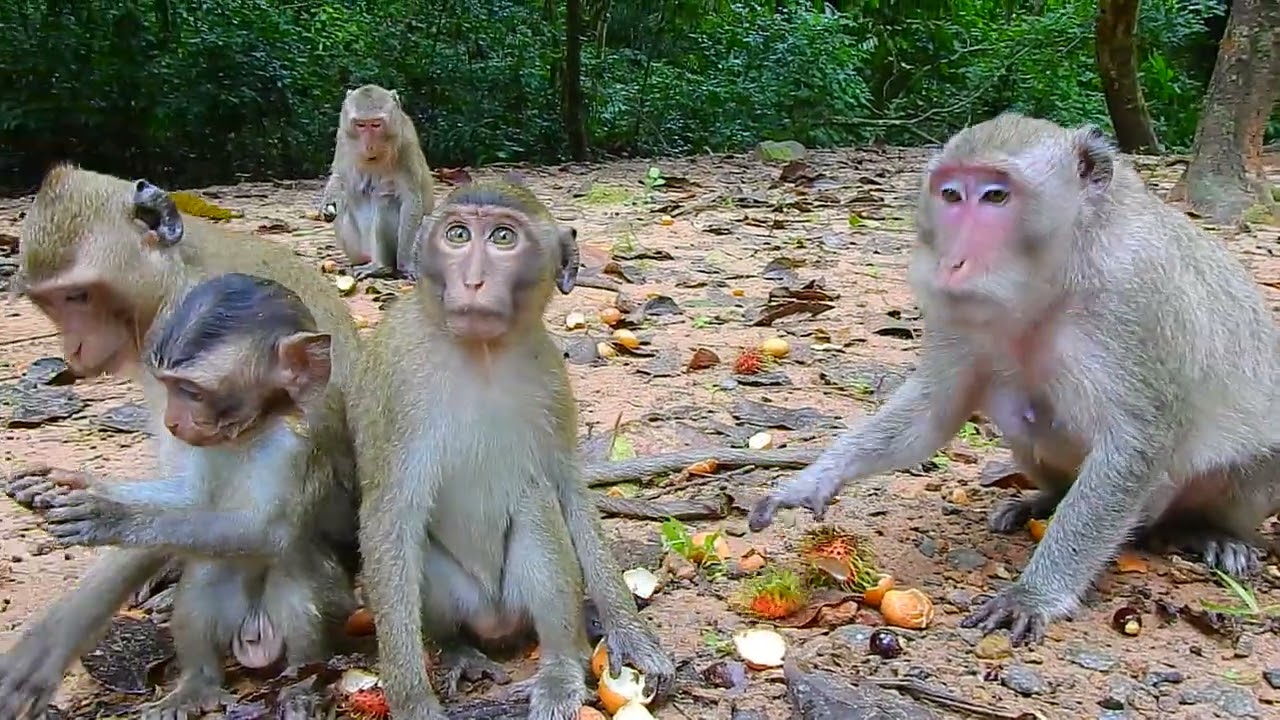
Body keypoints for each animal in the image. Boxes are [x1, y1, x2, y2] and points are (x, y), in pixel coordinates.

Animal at [0, 164, 361, 719]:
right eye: (50, 303)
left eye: (79, 295)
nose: (73, 349)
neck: (176, 271)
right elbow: (186, 487)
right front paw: (68, 484)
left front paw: (50, 642)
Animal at [317, 83, 435, 281]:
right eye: (360, 125)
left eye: (376, 124)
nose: (369, 145)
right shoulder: (343, 136)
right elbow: (340, 176)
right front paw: (328, 203)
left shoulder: (406, 144)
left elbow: (411, 201)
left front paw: (405, 264)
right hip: (356, 249)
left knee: (386, 203)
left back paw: (380, 266)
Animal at [351, 179, 674, 720]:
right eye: (458, 235)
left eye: (503, 237)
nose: (473, 281)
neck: (482, 353)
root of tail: (498, 624)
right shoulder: (397, 378)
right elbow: (391, 518)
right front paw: (413, 699)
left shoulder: (552, 376)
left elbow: (567, 491)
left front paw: (631, 632)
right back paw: (458, 650)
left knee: (537, 505)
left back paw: (561, 668)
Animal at [746, 113, 1280, 646]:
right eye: (951, 194)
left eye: (996, 196)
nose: (951, 262)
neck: (1059, 276)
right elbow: (933, 412)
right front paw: (813, 479)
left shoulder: (1138, 300)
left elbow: (1136, 446)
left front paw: (1034, 594)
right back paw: (1046, 500)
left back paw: (1212, 532)